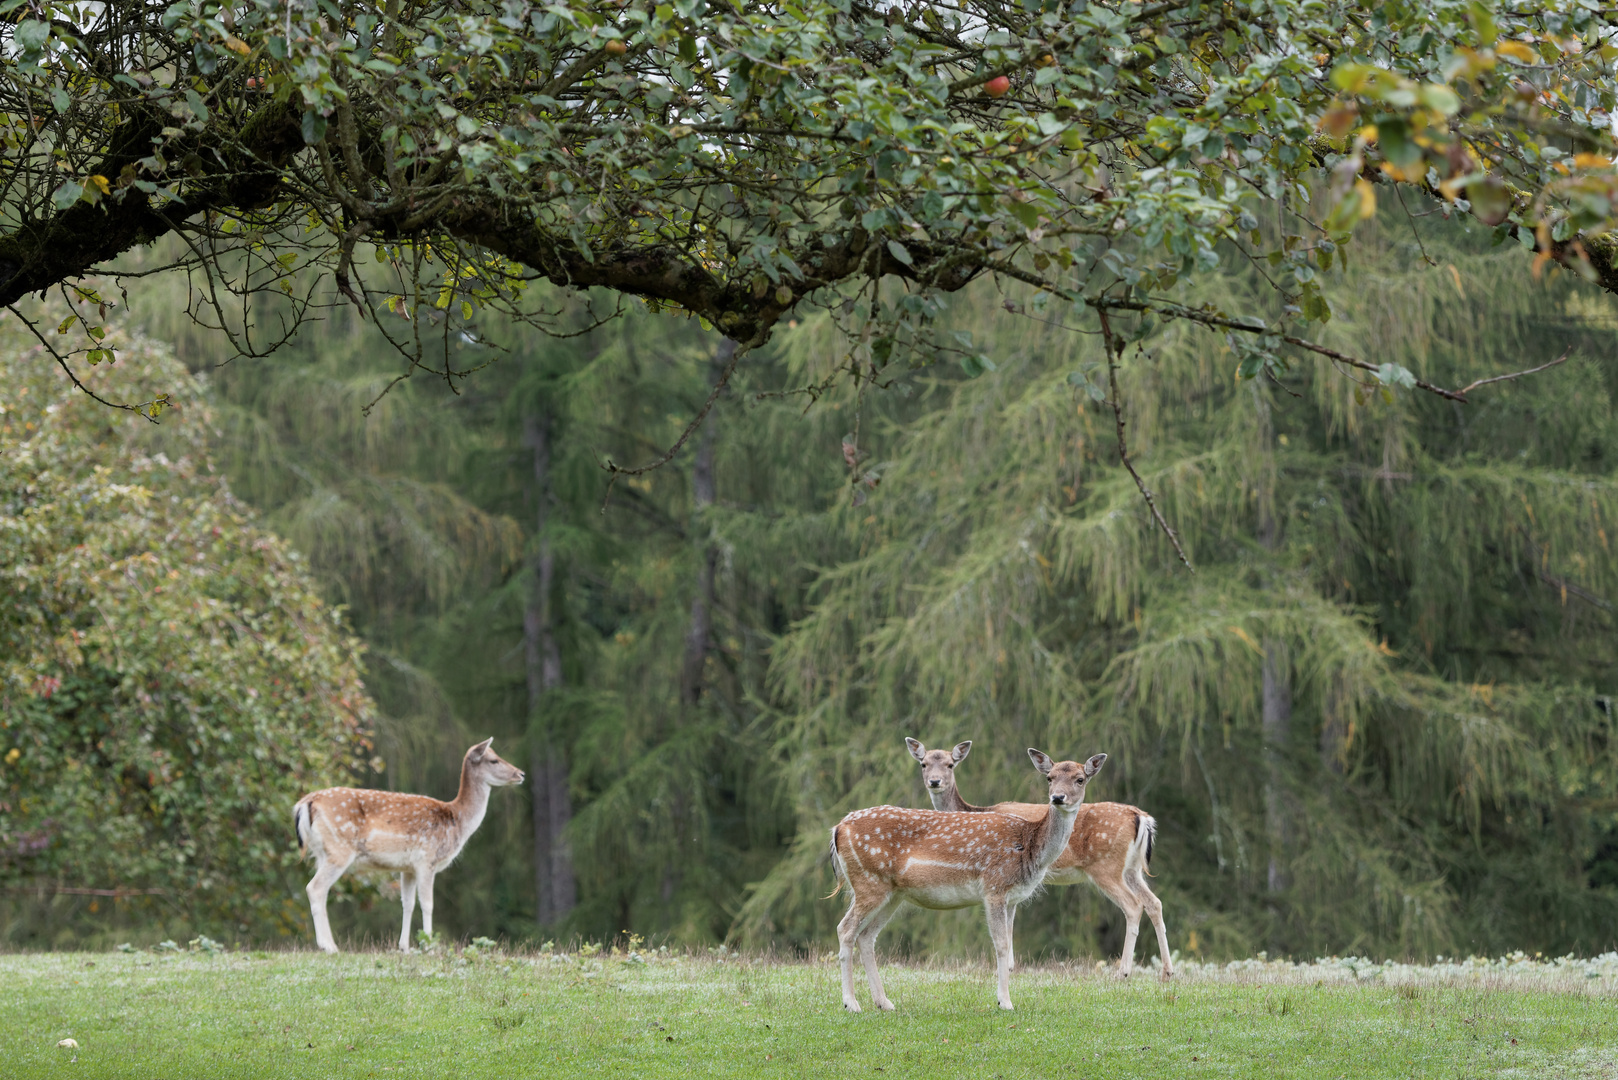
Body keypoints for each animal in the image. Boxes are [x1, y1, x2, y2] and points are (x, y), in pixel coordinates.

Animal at [288, 735, 520, 952]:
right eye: (493, 760)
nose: (520, 774)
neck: (457, 820)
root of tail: (304, 803)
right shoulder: (427, 859)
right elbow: (428, 904)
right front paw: (428, 946)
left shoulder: (407, 867)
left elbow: (407, 904)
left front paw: (405, 947)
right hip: (339, 849)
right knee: (315, 888)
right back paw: (328, 946)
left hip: (321, 853)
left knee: (322, 890)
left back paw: (329, 943)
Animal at [828, 748, 1106, 1010]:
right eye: (1050, 778)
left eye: (1080, 779)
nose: (1057, 797)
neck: (1029, 847)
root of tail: (838, 828)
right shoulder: (994, 886)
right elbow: (1001, 945)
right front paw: (1005, 1002)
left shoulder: (1012, 898)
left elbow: (1010, 947)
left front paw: (1004, 998)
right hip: (868, 881)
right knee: (845, 929)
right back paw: (851, 1003)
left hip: (892, 894)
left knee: (866, 937)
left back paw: (884, 1002)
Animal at [906, 738, 1171, 984]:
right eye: (923, 764)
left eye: (950, 765)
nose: (935, 781)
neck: (975, 811)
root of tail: (1141, 817)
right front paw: (1010, 967)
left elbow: (1009, 923)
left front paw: (1007, 968)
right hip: (1132, 869)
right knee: (1154, 903)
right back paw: (1167, 972)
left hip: (1106, 866)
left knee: (1133, 905)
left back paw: (1123, 972)